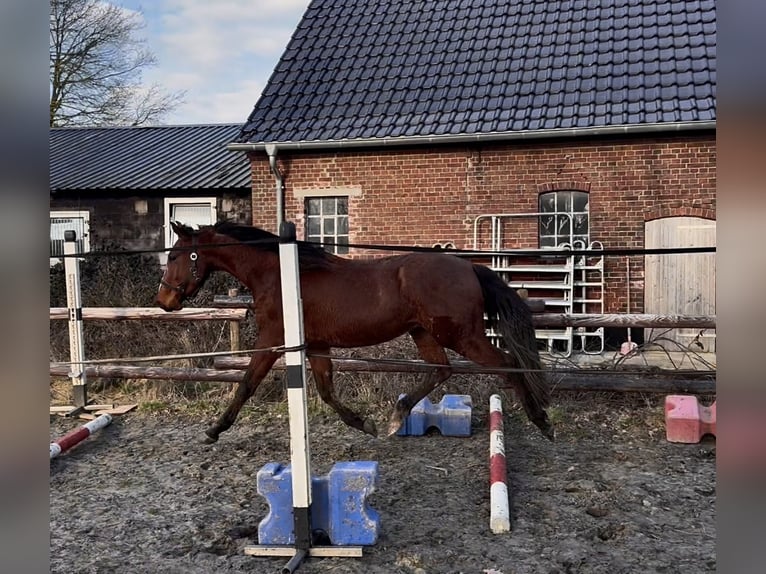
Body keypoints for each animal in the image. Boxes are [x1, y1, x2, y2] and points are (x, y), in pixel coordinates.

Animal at [156, 221, 554, 444]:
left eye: (174, 256)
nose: (164, 300)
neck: (278, 274)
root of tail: (470, 267)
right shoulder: (316, 345)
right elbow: (326, 391)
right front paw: (365, 425)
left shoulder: (273, 339)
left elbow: (247, 383)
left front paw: (214, 430)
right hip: (424, 333)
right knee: (441, 370)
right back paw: (396, 418)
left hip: (461, 335)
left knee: (506, 364)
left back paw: (543, 423)